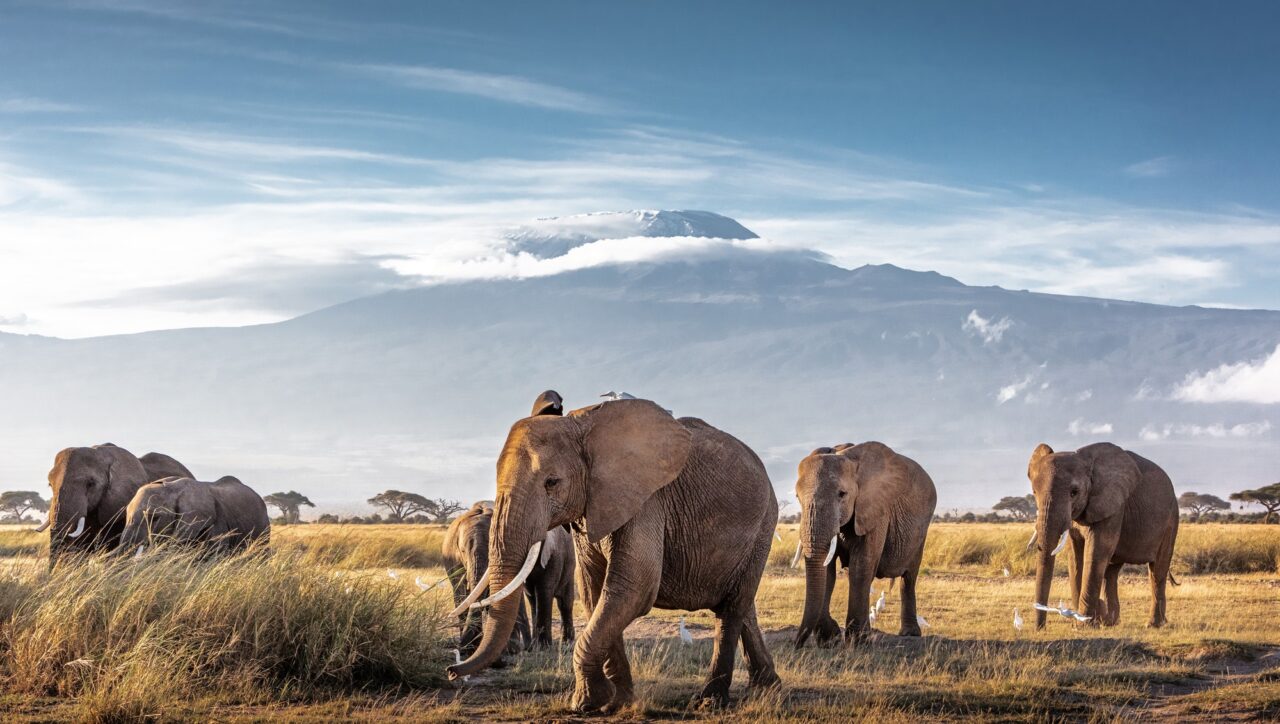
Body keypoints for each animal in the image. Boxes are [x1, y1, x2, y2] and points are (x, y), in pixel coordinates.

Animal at [793, 442, 936, 647]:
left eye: (842, 494)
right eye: (797, 497)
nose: (796, 645)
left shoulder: (876, 510)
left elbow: (861, 566)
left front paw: (858, 640)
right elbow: (828, 572)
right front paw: (830, 639)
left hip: (921, 531)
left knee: (908, 578)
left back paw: (910, 634)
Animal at [1029, 442, 1177, 629]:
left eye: (1074, 492)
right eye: (1034, 492)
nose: (1039, 628)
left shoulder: (1113, 507)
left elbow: (1096, 552)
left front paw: (1084, 625)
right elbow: (1075, 557)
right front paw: (1083, 622)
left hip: (1171, 520)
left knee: (1157, 571)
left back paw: (1153, 624)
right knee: (1111, 572)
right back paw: (1110, 622)